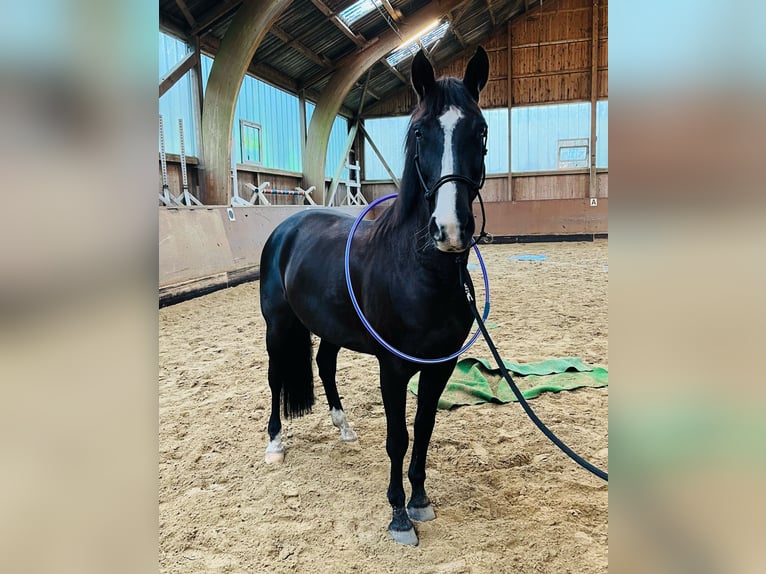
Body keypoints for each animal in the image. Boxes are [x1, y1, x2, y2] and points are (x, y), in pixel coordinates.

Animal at [259, 47, 490, 546]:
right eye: (420, 132)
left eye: (480, 130)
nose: (450, 230)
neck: (418, 272)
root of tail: (287, 227)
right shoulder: (394, 369)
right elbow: (398, 437)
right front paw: (399, 515)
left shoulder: (439, 367)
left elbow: (424, 428)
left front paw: (420, 500)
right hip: (277, 327)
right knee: (274, 377)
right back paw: (274, 443)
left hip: (328, 328)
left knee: (324, 364)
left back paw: (343, 427)